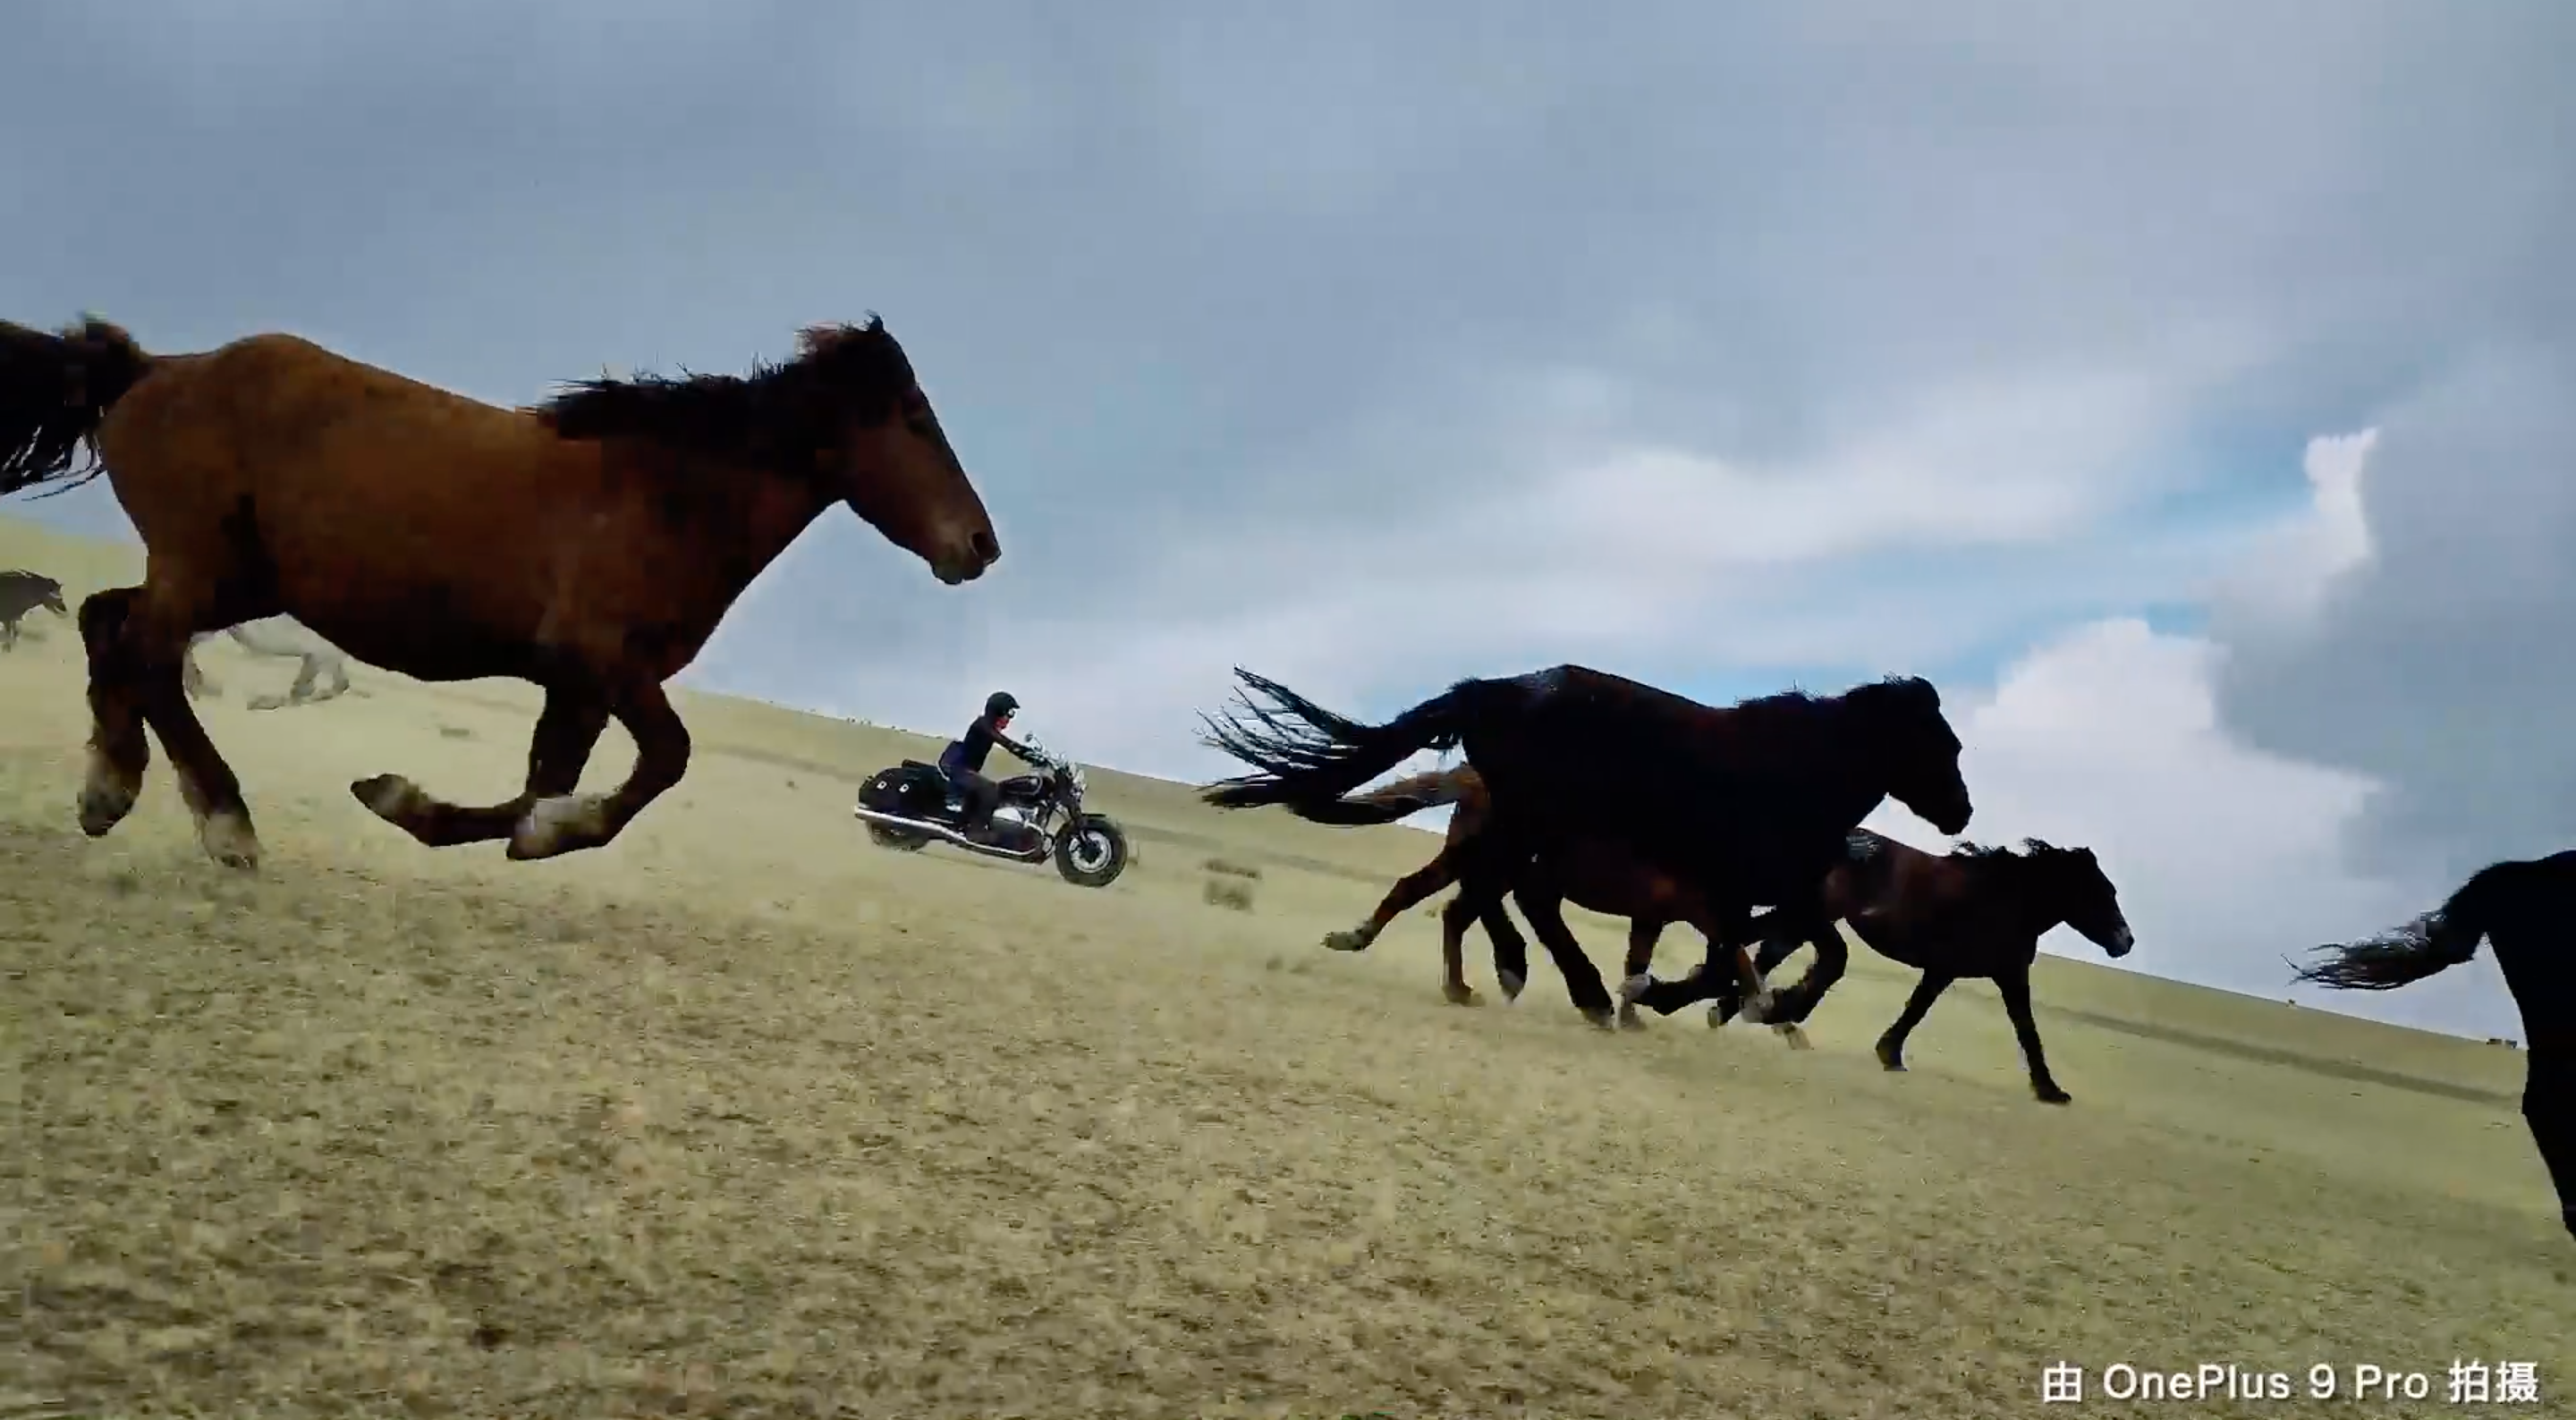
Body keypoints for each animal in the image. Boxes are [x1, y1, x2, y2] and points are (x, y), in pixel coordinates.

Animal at [0, 314, 998, 870]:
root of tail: (154, 369)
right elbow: (657, 764)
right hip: (204, 568)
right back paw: (223, 823)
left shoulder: (577, 687)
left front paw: (408, 801)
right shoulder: (600, 662)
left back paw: (110, 788)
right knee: (145, 652)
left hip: (235, 582)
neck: (667, 495)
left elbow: (539, 786)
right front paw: (538, 830)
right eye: (915, 420)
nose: (980, 547)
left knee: (110, 624)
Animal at [1198, 664, 1974, 1029]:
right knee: (1500, 896)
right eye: (1943, 746)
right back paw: (1556, 984)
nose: (1962, 813)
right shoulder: (1740, 889)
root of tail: (1492, 691)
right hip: (1528, 824)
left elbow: (1761, 955)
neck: (1800, 772)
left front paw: (1696, 998)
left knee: (1484, 895)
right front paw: (1726, 1002)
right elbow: (1765, 957)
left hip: (1523, 828)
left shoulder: (1755, 895)